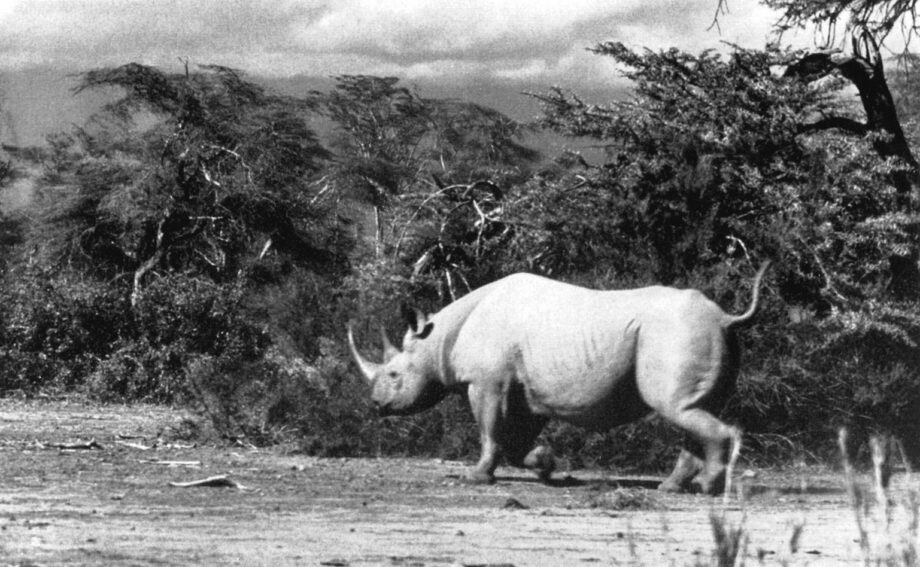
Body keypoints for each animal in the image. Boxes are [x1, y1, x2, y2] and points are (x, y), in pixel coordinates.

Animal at [348, 263, 770, 494]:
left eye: (393, 373)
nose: (376, 405)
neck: (436, 338)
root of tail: (725, 318)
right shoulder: (526, 392)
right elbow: (515, 440)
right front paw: (546, 464)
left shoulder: (486, 382)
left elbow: (488, 430)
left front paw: (477, 477)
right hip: (697, 335)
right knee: (691, 409)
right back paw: (674, 488)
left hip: (676, 333)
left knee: (676, 408)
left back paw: (708, 488)